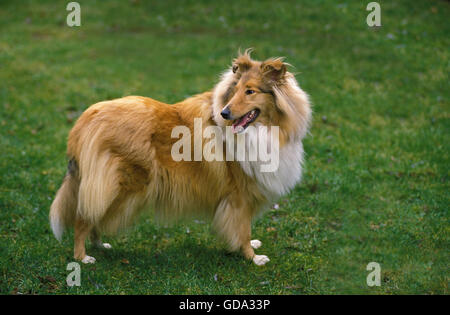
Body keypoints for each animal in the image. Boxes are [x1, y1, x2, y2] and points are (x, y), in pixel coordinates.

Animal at [48, 50, 310, 266]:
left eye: (250, 91)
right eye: (234, 92)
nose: (224, 113)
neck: (263, 129)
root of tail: (85, 120)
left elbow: (244, 229)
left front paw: (251, 247)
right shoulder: (238, 196)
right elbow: (242, 229)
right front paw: (253, 257)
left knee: (93, 215)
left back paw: (100, 245)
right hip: (117, 186)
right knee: (83, 217)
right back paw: (83, 257)